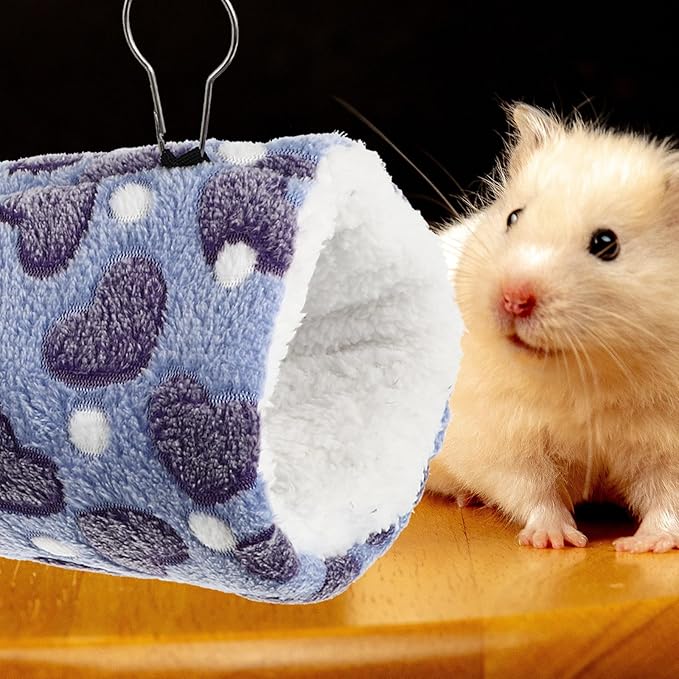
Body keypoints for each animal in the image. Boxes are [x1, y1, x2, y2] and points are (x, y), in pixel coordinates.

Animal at [428, 103, 679, 552]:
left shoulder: (667, 447)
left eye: (606, 243)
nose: (513, 299)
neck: (585, 376)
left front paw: (644, 544)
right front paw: (555, 540)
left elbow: (668, 498)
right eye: (513, 217)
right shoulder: (505, 440)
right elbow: (532, 490)